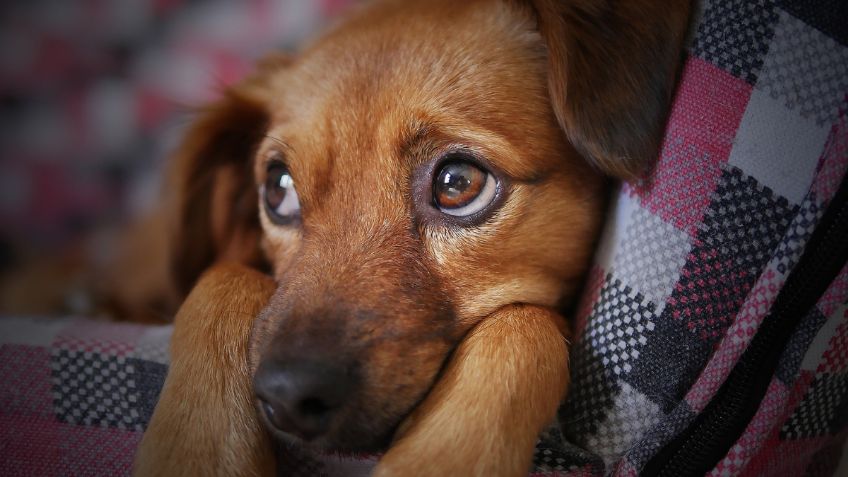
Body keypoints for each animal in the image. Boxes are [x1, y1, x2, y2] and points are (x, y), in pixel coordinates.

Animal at [131, 0, 688, 474]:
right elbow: (222, 276)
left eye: (458, 183)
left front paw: (439, 457)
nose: (288, 397)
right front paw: (196, 450)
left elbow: (524, 324)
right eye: (278, 188)